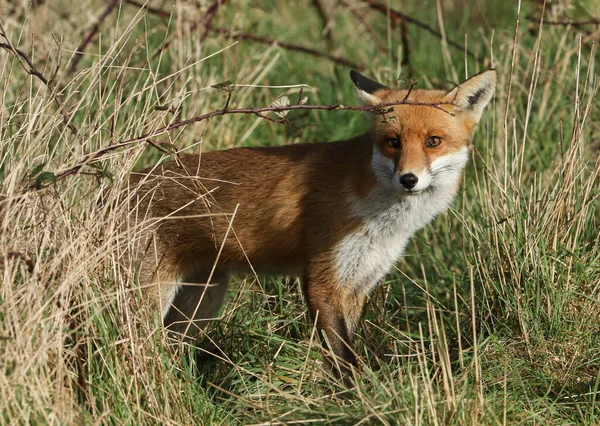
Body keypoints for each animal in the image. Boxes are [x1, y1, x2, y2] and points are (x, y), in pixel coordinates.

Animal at [126, 69, 496, 386]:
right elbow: (344, 357)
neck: (381, 217)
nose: (408, 179)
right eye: (393, 142)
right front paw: (360, 398)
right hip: (151, 301)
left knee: (172, 348)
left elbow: (341, 352)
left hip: (202, 301)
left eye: (434, 141)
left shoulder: (358, 283)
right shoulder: (322, 281)